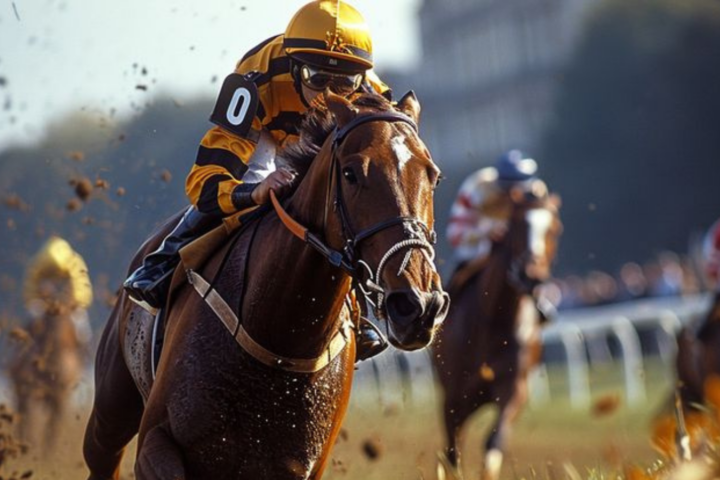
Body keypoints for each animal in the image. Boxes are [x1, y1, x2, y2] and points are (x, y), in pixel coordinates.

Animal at [82, 90, 449, 480]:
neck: (278, 336)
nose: (418, 304)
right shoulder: (156, 442)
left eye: (434, 177)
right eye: (351, 173)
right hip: (109, 418)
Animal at [432, 186, 562, 480]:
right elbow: (453, 452)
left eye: (553, 229)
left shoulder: (513, 388)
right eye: (517, 224)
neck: (496, 321)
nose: (531, 276)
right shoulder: (454, 397)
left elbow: (495, 439)